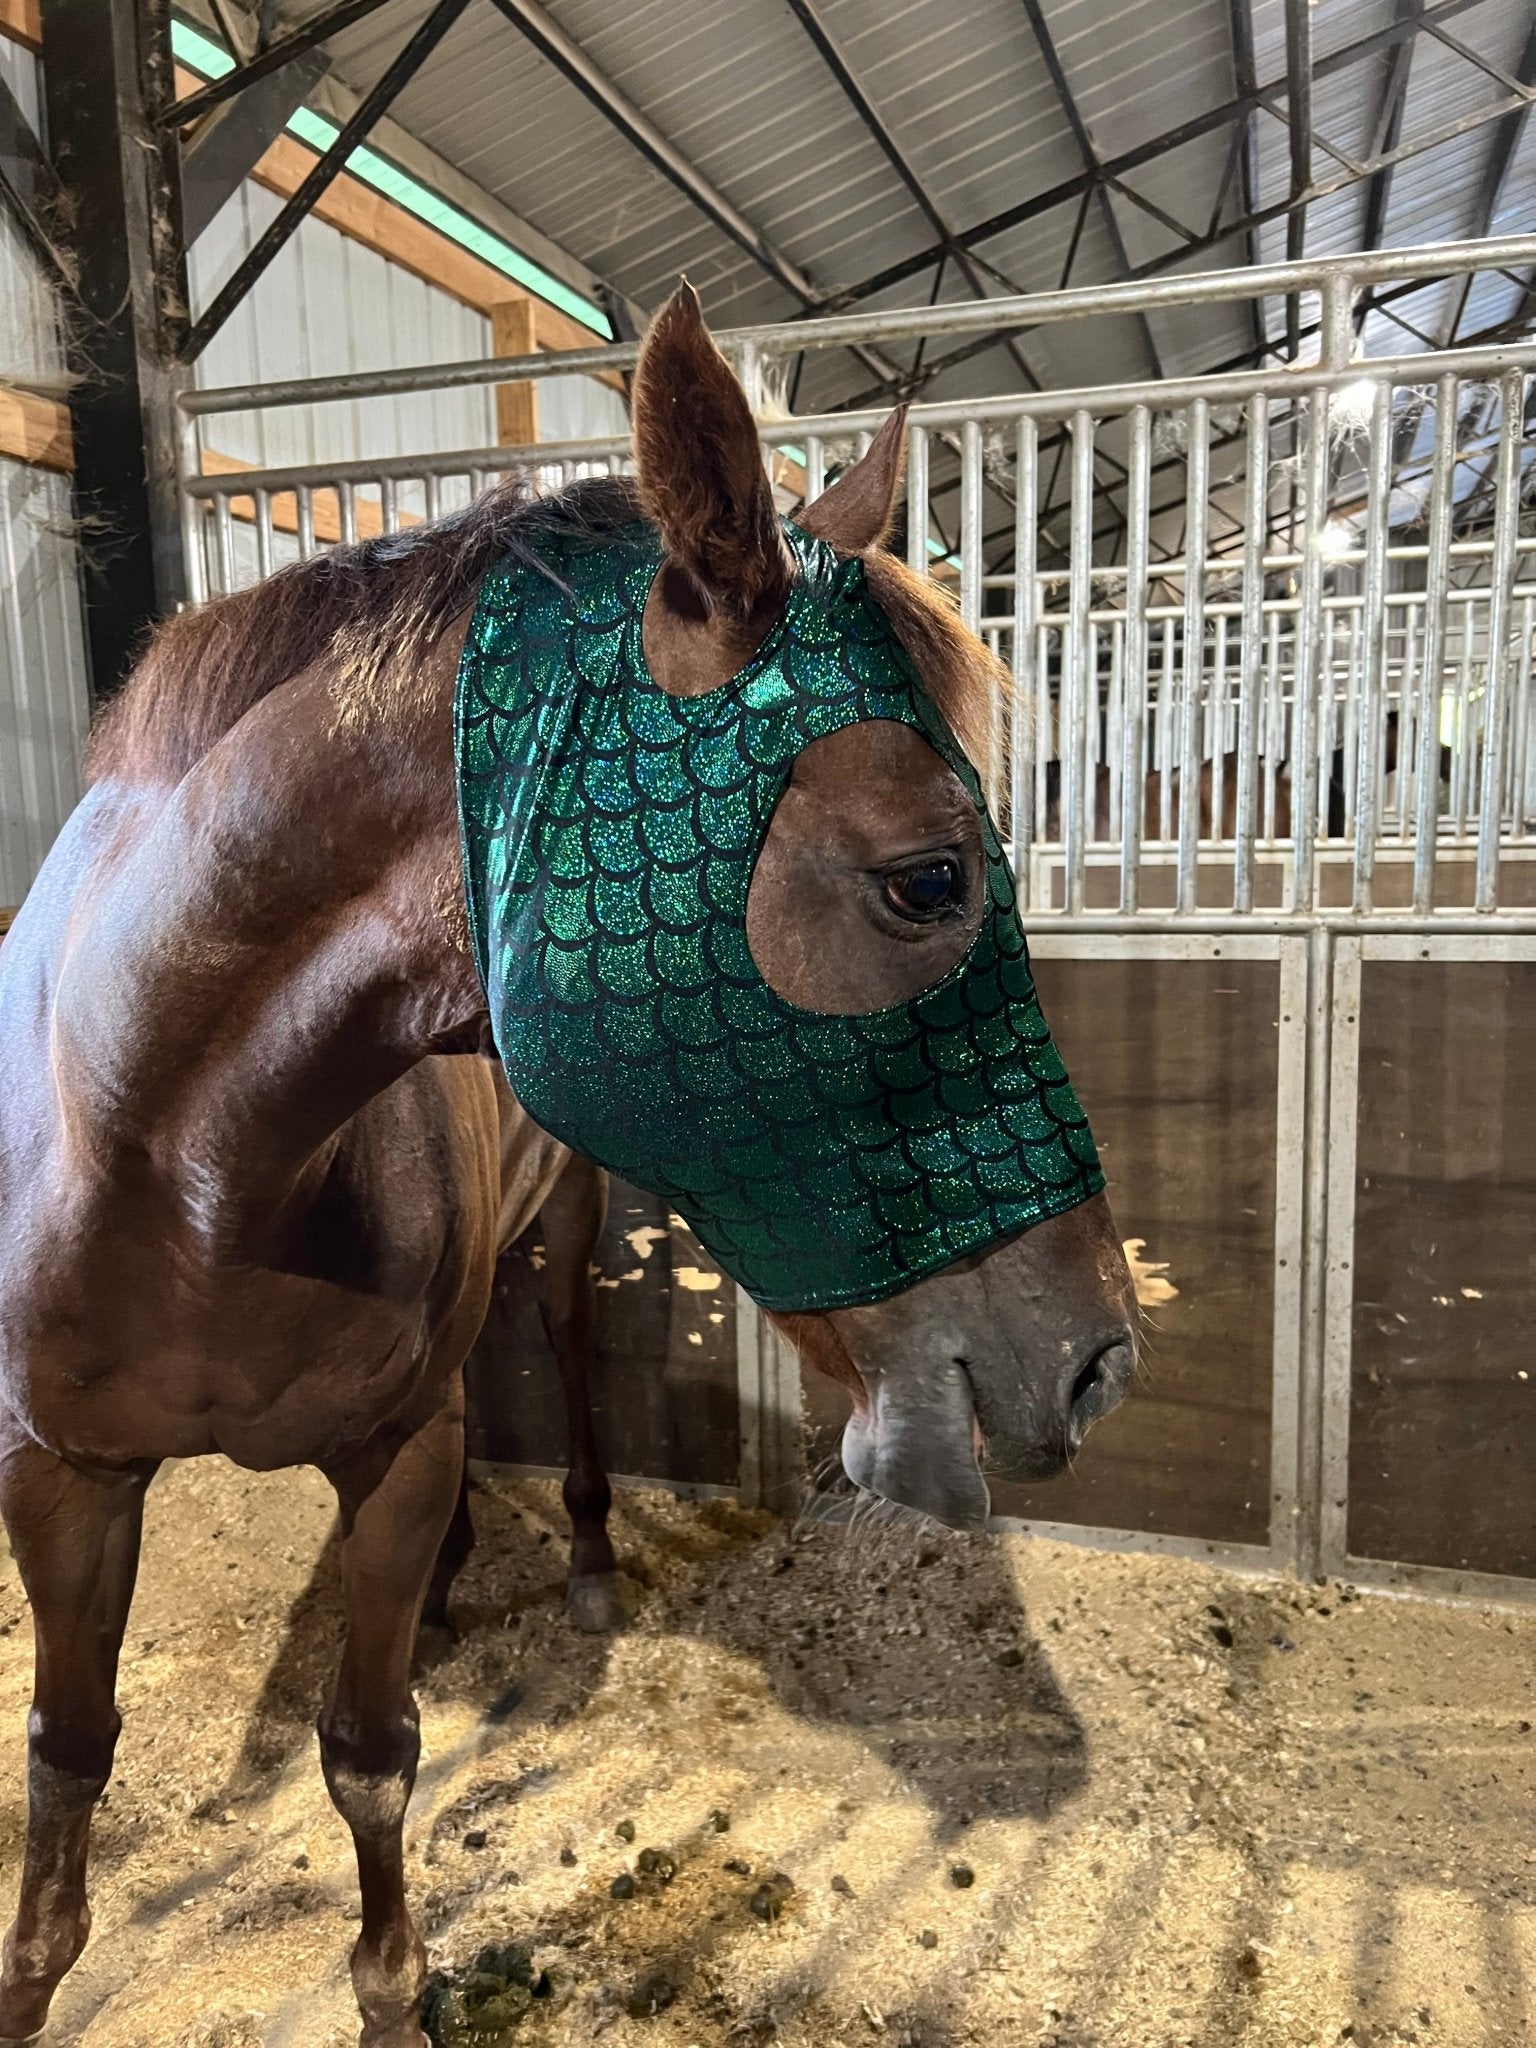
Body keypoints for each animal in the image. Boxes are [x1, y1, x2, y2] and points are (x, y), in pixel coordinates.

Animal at [0, 285, 1135, 2047]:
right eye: (930, 879)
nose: (1096, 1360)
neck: (178, 1154)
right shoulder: (58, 1472)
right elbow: (66, 1755)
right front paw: (38, 1969)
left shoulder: (396, 1452)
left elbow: (372, 1758)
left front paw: (393, 1986)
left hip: (565, 1245)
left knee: (565, 1363)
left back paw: (582, 1564)